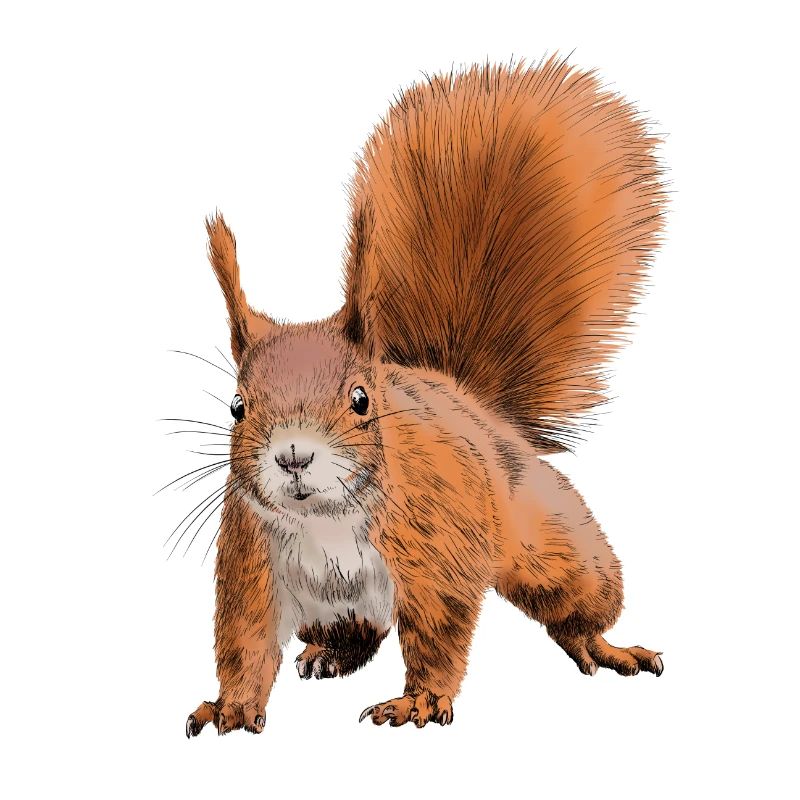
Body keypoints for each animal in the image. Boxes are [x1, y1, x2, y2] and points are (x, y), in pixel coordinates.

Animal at [183, 56, 665, 737]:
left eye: (361, 399)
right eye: (237, 406)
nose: (293, 455)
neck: (325, 520)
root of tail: (465, 396)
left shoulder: (437, 542)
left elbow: (439, 629)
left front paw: (417, 703)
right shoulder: (252, 560)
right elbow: (244, 640)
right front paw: (230, 706)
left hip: (549, 537)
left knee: (575, 596)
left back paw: (604, 644)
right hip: (333, 607)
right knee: (358, 633)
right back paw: (328, 653)